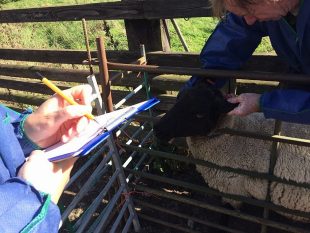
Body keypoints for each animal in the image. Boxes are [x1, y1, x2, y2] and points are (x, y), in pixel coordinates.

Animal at [154, 79, 310, 222]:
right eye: (178, 100)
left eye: (200, 114)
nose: (157, 129)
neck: (232, 132)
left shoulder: (232, 189)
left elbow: (227, 211)